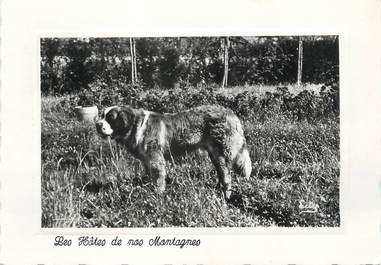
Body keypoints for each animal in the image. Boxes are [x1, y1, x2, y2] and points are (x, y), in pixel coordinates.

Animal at [95, 104, 251, 199]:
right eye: (101, 116)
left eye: (110, 118)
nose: (97, 124)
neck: (136, 126)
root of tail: (230, 113)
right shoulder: (147, 161)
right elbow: (151, 177)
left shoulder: (156, 160)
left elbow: (158, 179)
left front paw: (157, 195)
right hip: (214, 154)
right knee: (221, 172)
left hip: (221, 153)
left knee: (226, 176)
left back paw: (225, 196)